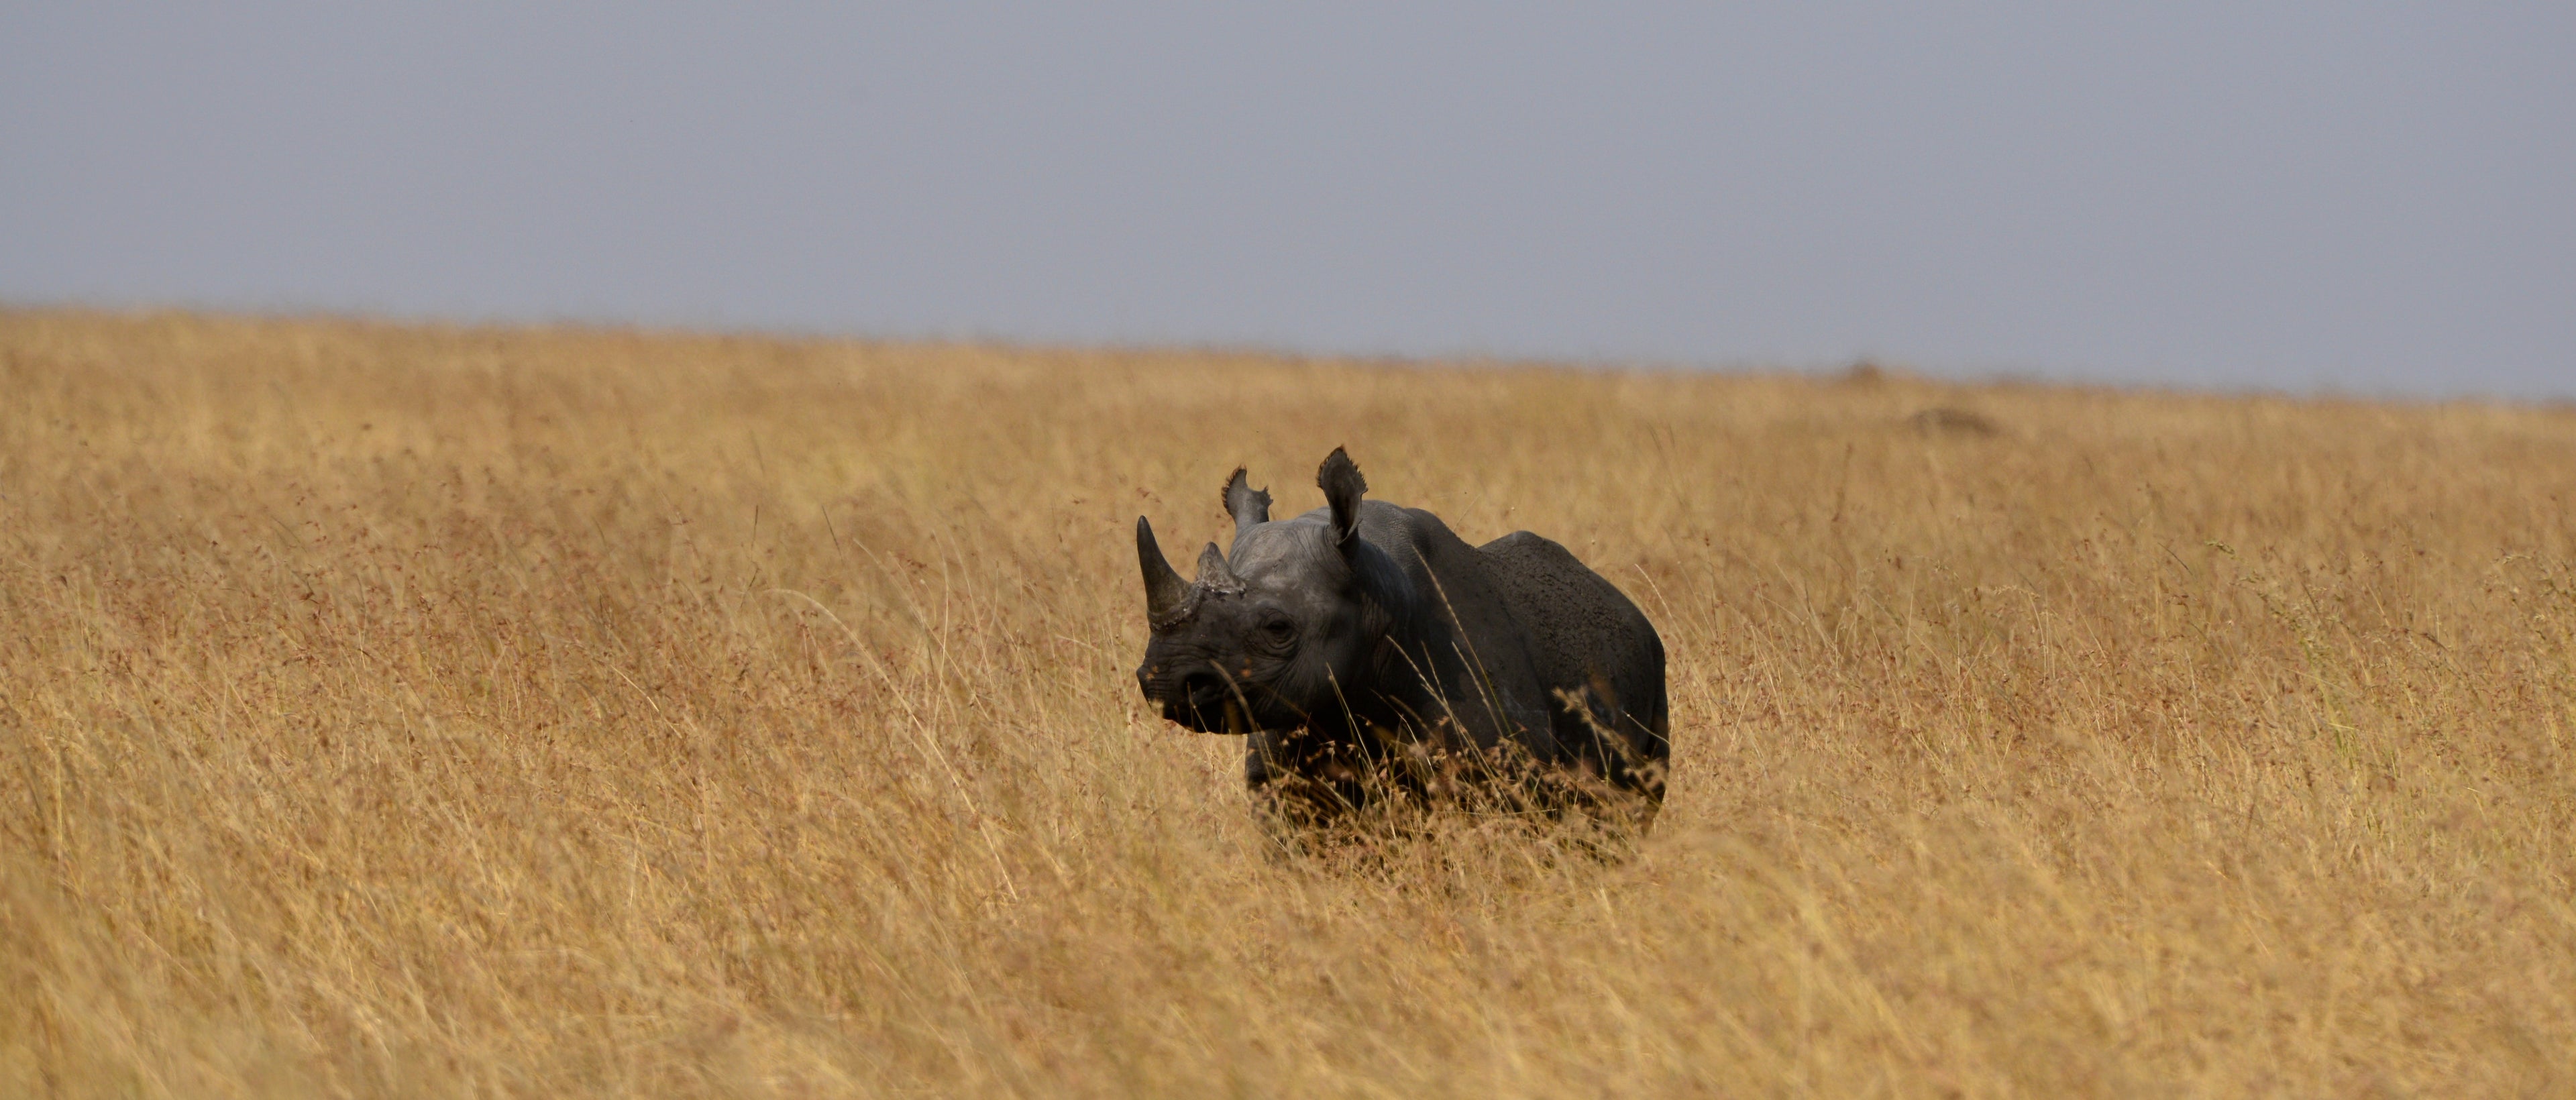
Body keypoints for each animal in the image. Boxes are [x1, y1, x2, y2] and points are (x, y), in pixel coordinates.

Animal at [1133, 447, 1669, 832]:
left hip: (1653, 669)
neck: (1374, 594)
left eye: (1278, 629)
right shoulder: (1282, 776)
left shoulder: (1500, 776)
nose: (1163, 680)